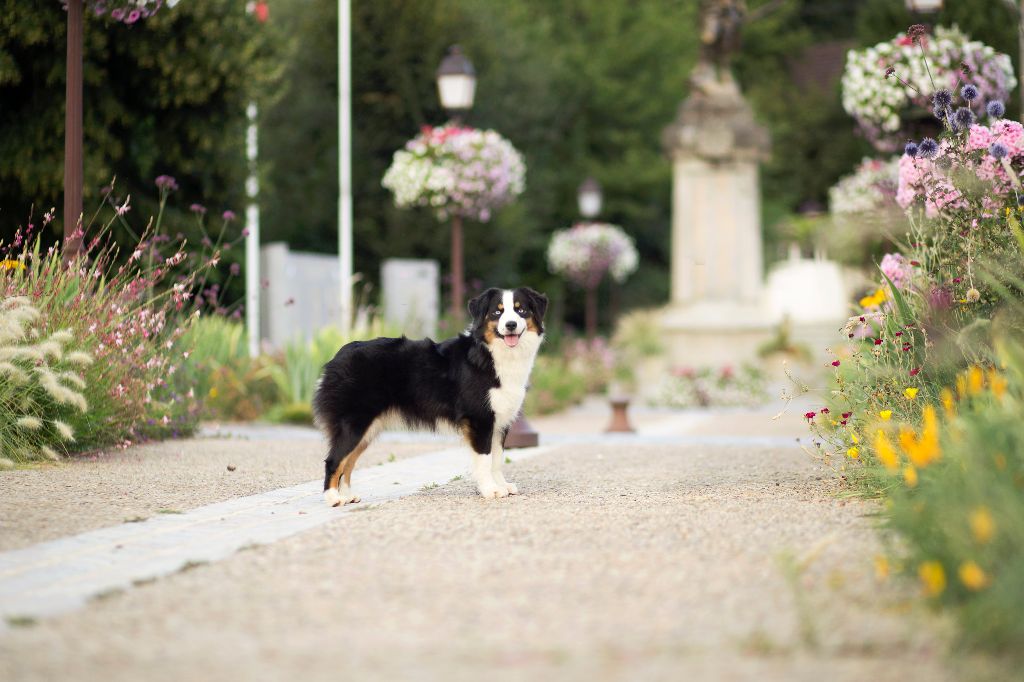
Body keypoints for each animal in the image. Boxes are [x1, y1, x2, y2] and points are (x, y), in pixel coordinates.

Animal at [311, 284, 548, 501]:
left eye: (520, 310)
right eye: (497, 312)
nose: (510, 325)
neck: (492, 354)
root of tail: (337, 355)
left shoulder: (500, 421)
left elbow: (497, 460)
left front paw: (502, 485)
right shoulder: (480, 419)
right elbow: (484, 459)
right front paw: (490, 490)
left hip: (367, 428)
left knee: (348, 462)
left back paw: (348, 495)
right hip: (354, 423)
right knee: (334, 460)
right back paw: (333, 498)